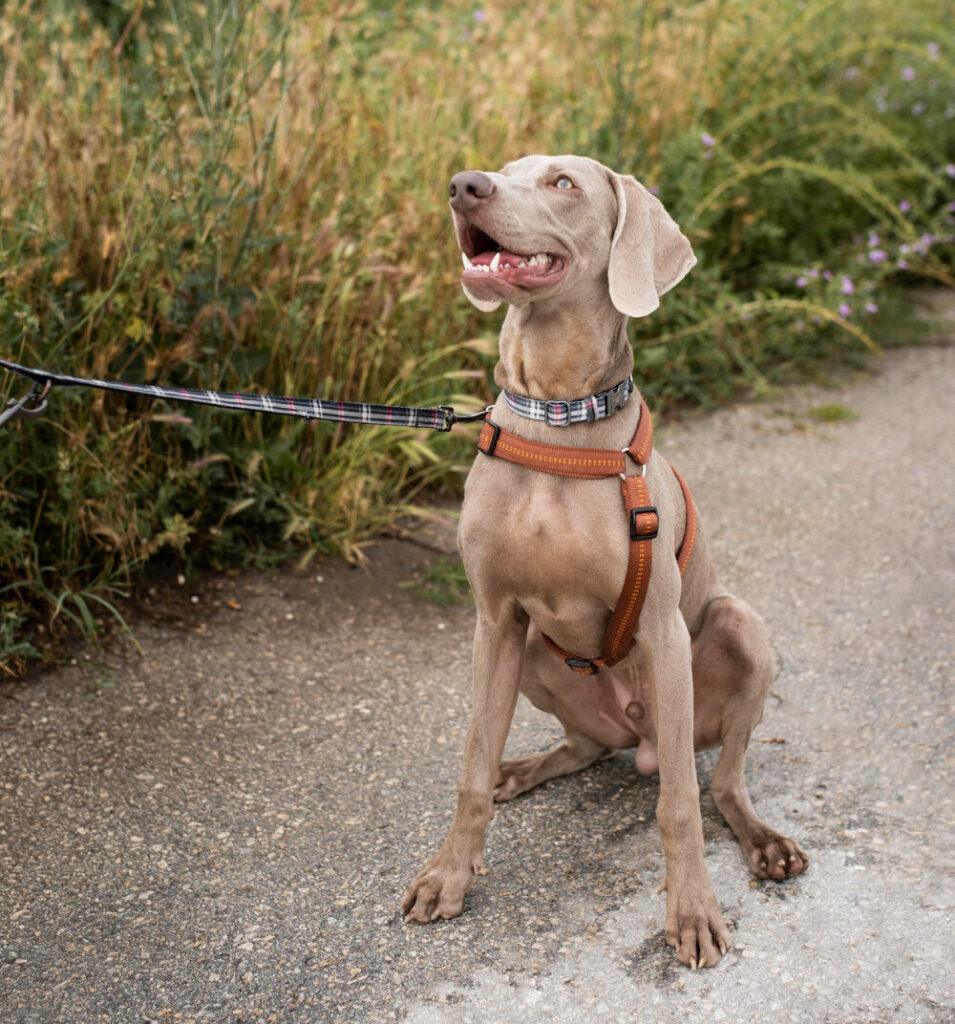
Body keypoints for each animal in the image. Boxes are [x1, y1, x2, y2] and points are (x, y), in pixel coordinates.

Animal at [397, 155, 806, 970]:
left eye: (563, 183)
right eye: (504, 168)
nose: (465, 185)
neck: (556, 416)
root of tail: (635, 734)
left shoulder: (661, 630)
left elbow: (679, 805)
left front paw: (691, 914)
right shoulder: (494, 619)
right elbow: (468, 770)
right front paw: (448, 875)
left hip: (738, 631)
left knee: (719, 781)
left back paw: (762, 841)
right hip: (532, 650)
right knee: (584, 747)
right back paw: (521, 769)